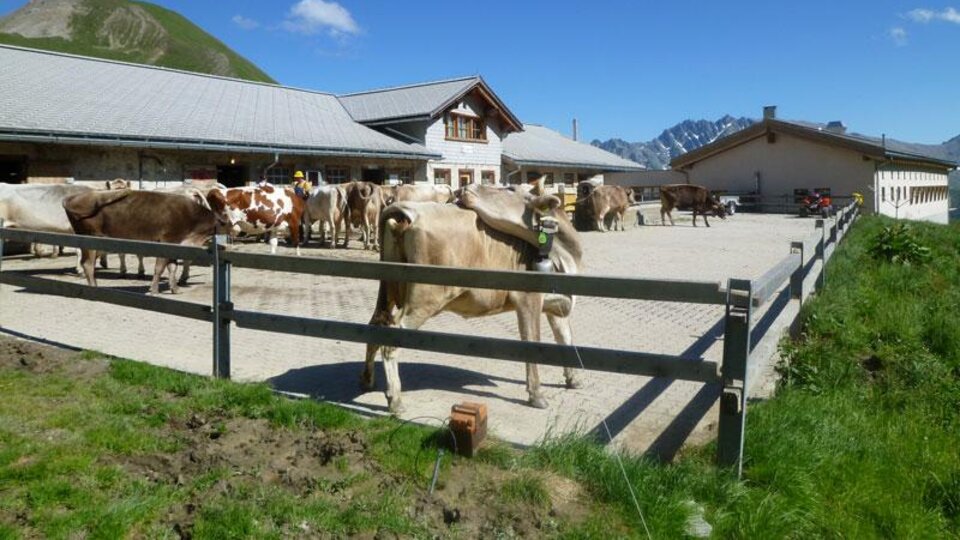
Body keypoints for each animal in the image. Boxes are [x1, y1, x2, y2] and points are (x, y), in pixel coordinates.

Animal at [62, 190, 223, 294]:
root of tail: (73, 197)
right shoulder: (166, 242)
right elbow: (160, 268)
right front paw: (154, 289)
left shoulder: (175, 245)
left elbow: (172, 267)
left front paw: (175, 289)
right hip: (91, 240)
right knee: (88, 264)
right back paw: (94, 287)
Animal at [363, 184, 583, 414]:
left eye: (509, 187)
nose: (463, 189)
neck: (566, 254)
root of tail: (407, 211)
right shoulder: (528, 299)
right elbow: (533, 343)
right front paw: (537, 395)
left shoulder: (558, 303)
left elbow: (565, 339)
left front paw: (573, 379)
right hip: (425, 298)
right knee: (391, 336)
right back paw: (395, 400)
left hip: (388, 291)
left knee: (374, 325)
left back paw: (368, 381)